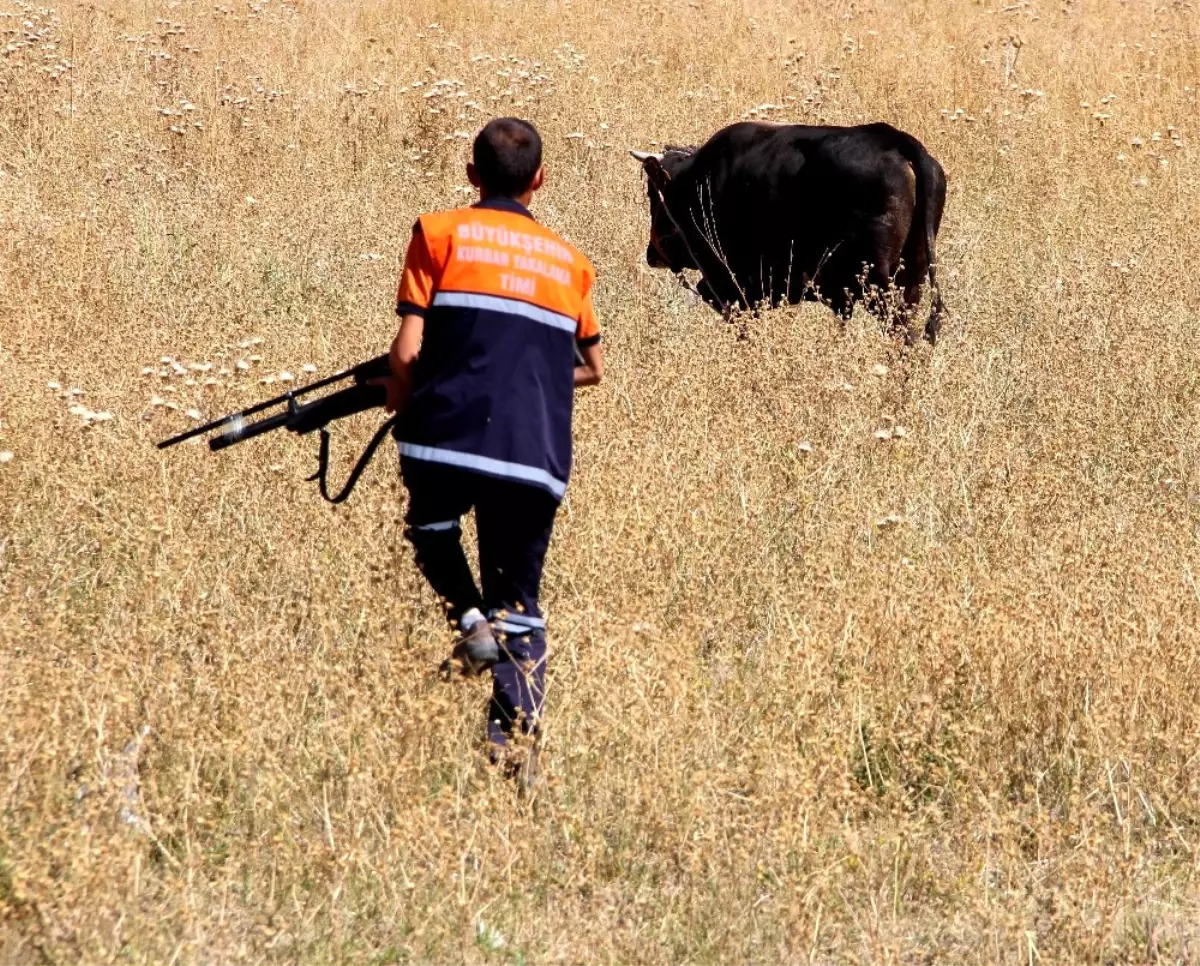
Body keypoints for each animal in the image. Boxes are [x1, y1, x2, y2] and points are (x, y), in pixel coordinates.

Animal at [633, 122, 950, 343]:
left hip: (879, 286)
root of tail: (894, 138)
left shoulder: (733, 289)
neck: (696, 184)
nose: (652, 254)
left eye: (652, 193)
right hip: (913, 280)